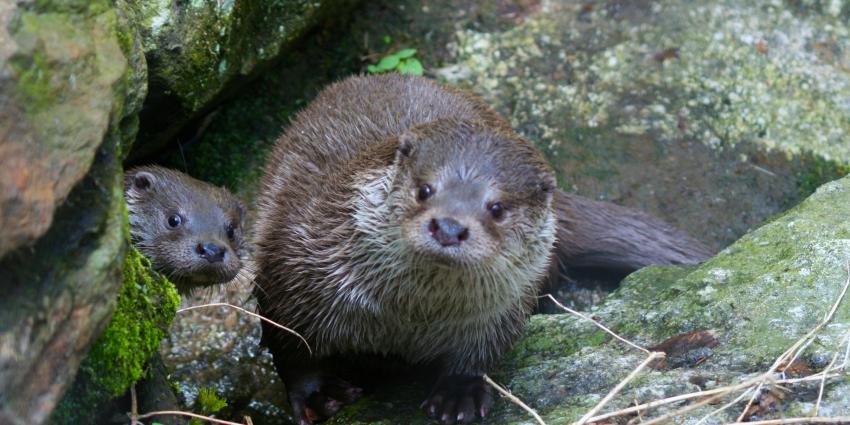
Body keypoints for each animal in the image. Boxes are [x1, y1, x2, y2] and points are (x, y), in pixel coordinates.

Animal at [252, 73, 708, 424]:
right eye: (424, 189)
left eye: (497, 207)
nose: (450, 226)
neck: (408, 317)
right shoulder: (294, 266)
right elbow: (291, 344)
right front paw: (317, 393)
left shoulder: (502, 310)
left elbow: (482, 352)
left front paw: (459, 393)